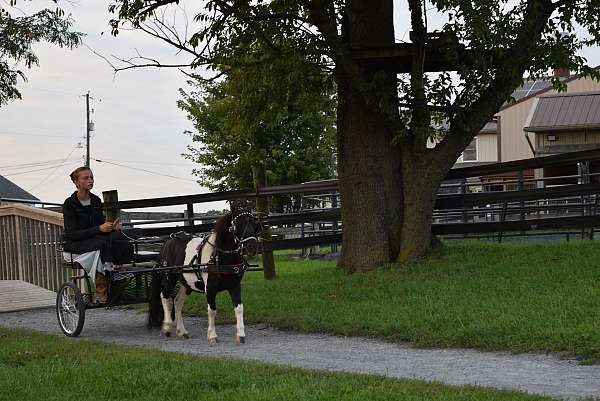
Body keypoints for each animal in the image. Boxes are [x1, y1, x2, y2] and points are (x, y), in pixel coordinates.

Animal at [149, 209, 258, 344]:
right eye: (238, 225)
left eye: (254, 224)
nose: (252, 248)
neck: (218, 256)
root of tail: (167, 243)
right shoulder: (210, 288)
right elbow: (212, 310)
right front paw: (212, 336)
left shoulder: (235, 286)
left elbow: (239, 308)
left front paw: (241, 335)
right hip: (169, 277)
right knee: (164, 296)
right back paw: (167, 326)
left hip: (186, 283)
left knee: (177, 302)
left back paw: (182, 331)